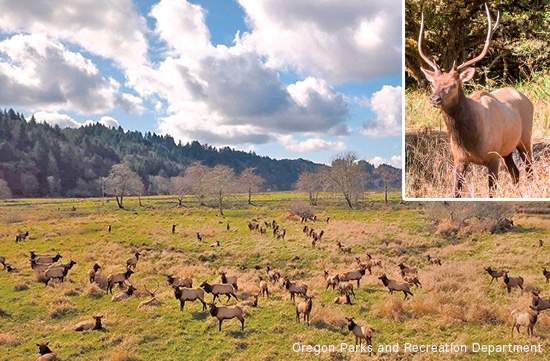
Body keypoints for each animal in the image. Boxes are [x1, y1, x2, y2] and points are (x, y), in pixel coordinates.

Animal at [418, 3, 536, 197]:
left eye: (453, 85)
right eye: (432, 83)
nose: (434, 99)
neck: (471, 142)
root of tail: (526, 98)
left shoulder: (493, 157)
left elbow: (491, 193)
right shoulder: (459, 160)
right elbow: (455, 193)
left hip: (525, 138)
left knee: (529, 169)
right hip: (506, 150)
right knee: (516, 173)